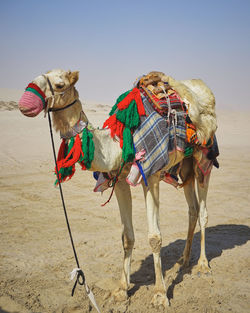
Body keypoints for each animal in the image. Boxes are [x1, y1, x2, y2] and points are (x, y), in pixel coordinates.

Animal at [18, 69, 217, 308]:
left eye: (59, 84)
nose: (25, 102)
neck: (118, 144)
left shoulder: (151, 176)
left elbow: (155, 237)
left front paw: (160, 295)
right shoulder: (120, 180)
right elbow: (127, 237)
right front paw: (122, 290)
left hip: (203, 158)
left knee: (203, 212)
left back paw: (203, 265)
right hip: (184, 166)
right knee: (193, 208)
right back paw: (184, 260)